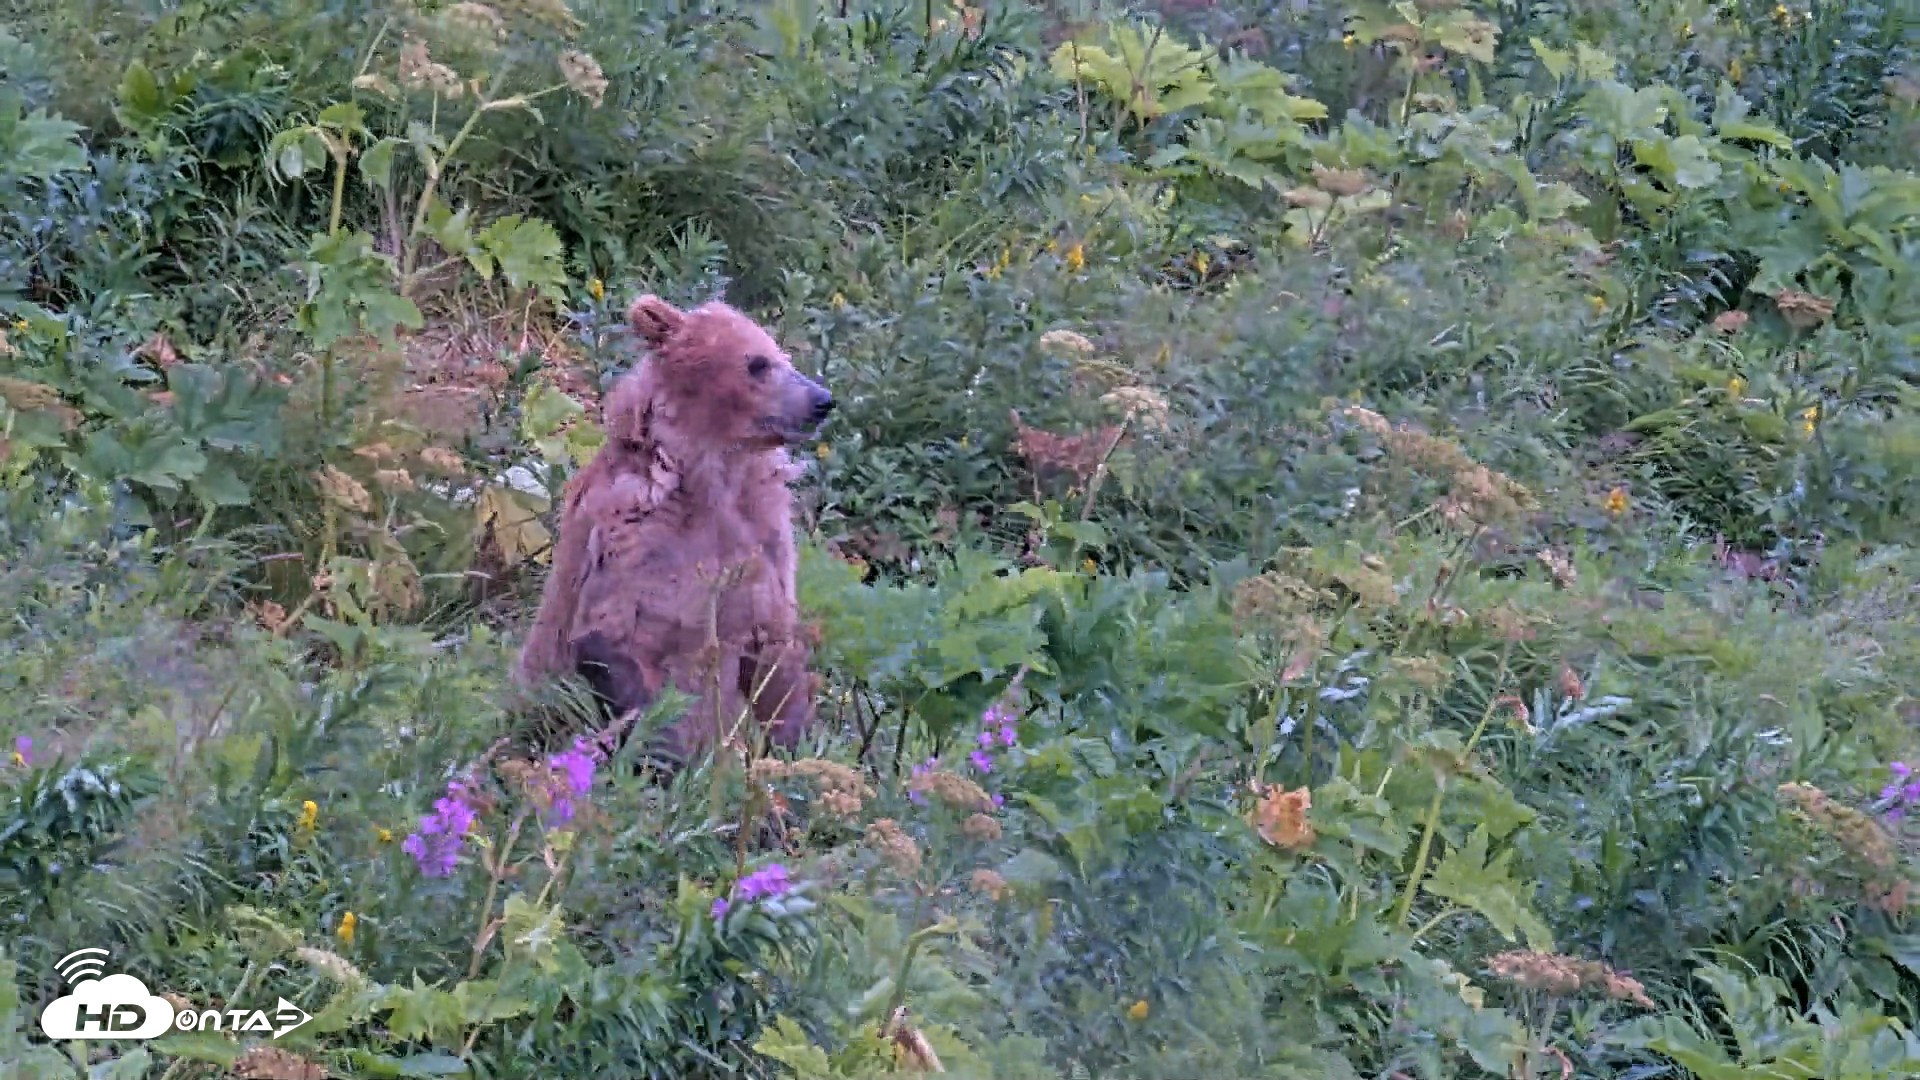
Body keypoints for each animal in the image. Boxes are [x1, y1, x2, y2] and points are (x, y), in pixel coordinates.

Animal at [514, 293, 834, 767]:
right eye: (758, 363)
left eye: (782, 354)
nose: (822, 400)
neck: (714, 479)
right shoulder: (637, 538)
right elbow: (618, 643)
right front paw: (671, 755)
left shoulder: (764, 534)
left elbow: (773, 648)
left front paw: (792, 744)